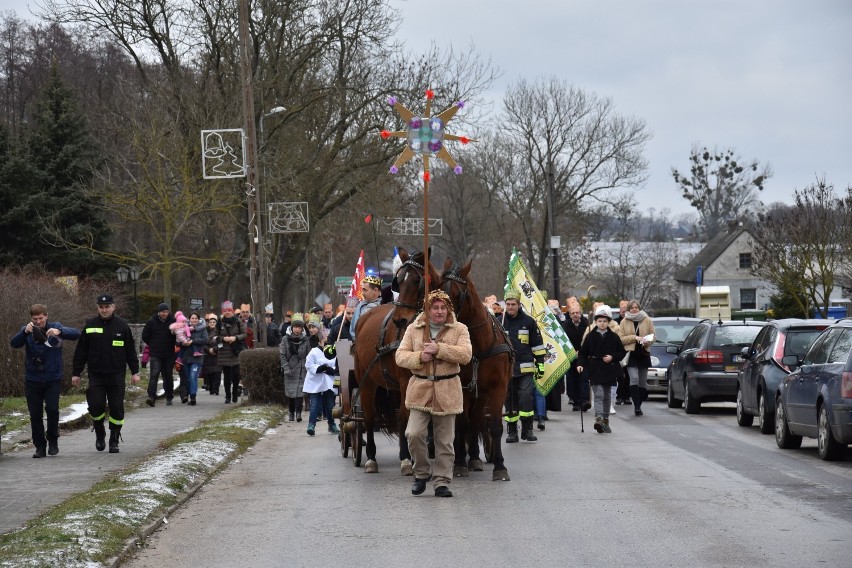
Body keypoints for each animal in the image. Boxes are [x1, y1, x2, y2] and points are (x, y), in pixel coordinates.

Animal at [350, 248, 440, 474]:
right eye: (398, 281)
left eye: (417, 280)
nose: (400, 320)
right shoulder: (405, 381)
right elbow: (404, 417)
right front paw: (407, 459)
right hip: (366, 381)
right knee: (369, 417)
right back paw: (371, 458)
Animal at [440, 260, 512, 482]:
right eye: (437, 288)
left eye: (457, 294)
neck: (479, 347)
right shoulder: (463, 388)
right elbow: (461, 424)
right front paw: (459, 464)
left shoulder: (497, 387)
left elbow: (495, 425)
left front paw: (500, 466)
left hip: (481, 394)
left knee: (477, 419)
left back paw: (473, 457)